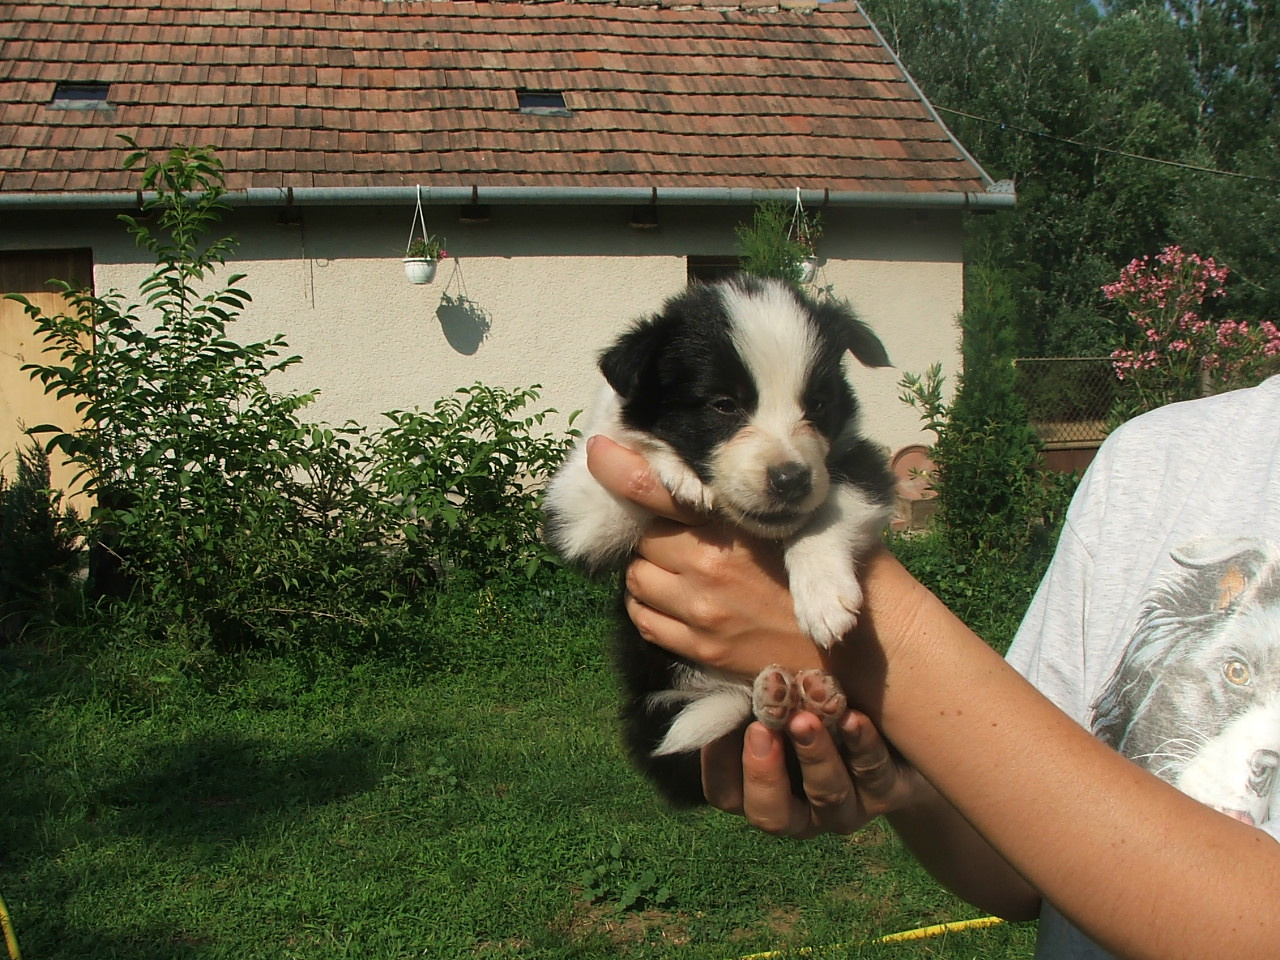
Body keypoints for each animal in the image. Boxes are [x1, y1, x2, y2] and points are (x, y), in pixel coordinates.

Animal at [545, 273, 896, 808]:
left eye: (817, 404)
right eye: (724, 405)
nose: (791, 480)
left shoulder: (859, 459)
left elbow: (831, 507)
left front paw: (823, 599)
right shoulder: (576, 514)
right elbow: (627, 445)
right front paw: (679, 471)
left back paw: (807, 701)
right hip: (657, 705)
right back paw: (780, 700)